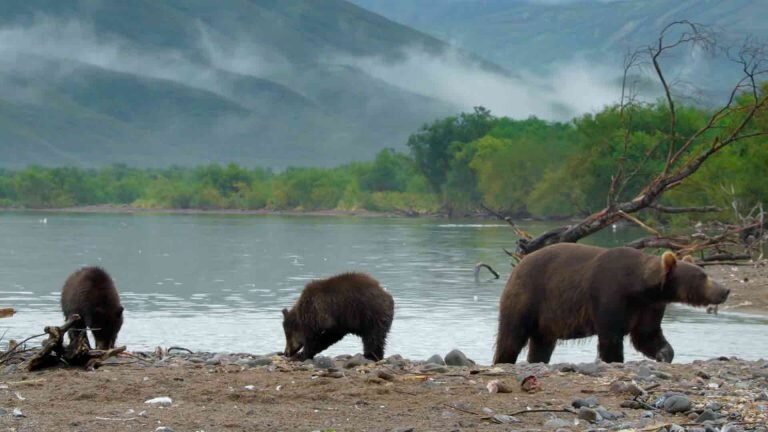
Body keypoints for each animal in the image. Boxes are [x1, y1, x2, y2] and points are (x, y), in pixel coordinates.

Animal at [496, 243, 728, 364]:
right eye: (703, 276)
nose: (725, 290)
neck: (640, 287)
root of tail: (519, 263)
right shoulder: (609, 294)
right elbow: (611, 336)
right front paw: (613, 359)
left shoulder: (649, 306)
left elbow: (647, 335)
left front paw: (664, 354)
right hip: (529, 295)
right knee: (512, 336)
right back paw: (503, 360)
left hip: (547, 319)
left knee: (541, 343)